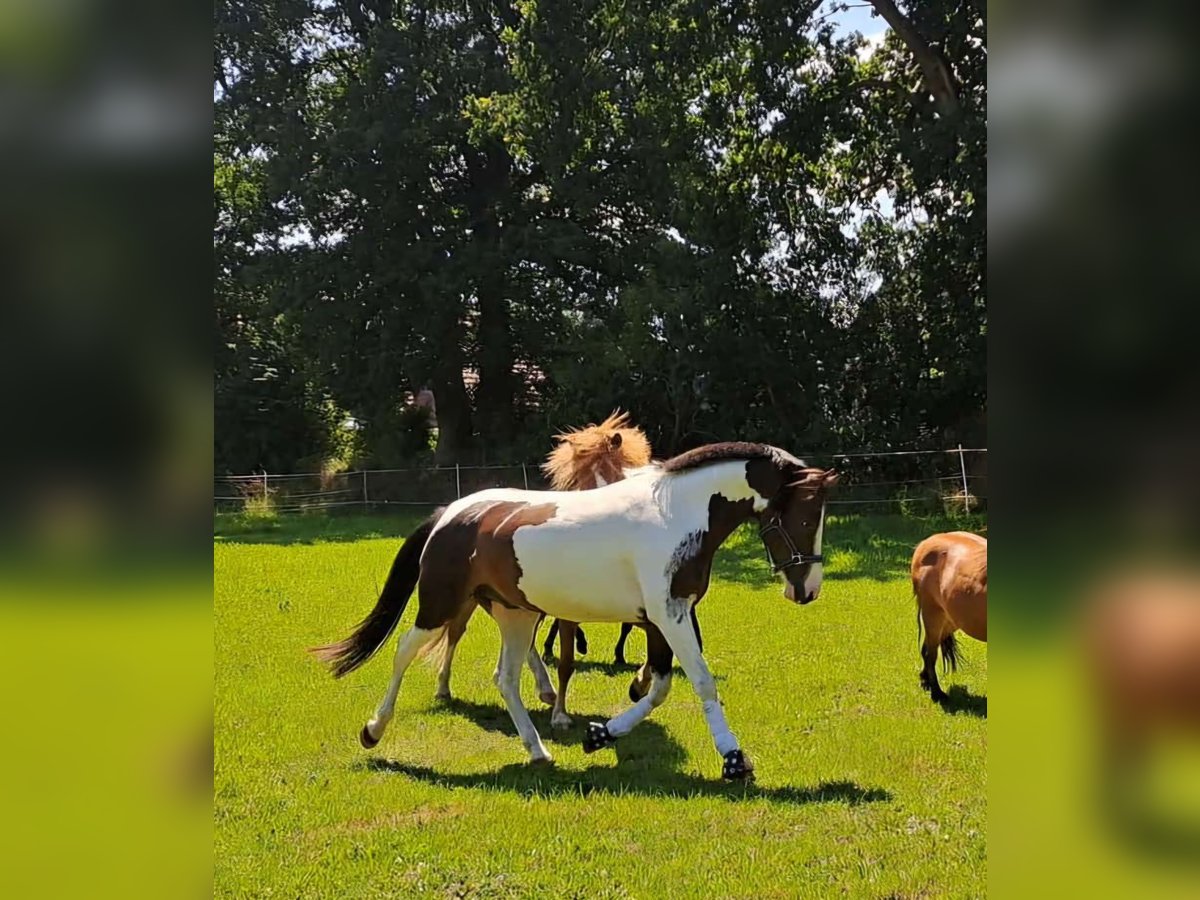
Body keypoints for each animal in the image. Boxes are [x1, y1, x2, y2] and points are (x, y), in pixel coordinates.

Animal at [312, 442, 838, 780]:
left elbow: (658, 687)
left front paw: (600, 734)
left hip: (516, 615)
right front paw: (733, 760)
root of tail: (450, 513)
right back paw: (373, 730)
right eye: (804, 516)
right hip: (441, 605)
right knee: (404, 650)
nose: (807, 589)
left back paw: (538, 750)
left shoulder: (667, 617)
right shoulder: (668, 616)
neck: (674, 514)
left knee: (506, 677)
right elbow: (700, 682)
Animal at [911, 531, 987, 702]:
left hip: (950, 618)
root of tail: (924, 543)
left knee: (926, 648)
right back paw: (937, 693)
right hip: (932, 613)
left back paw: (925, 681)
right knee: (930, 653)